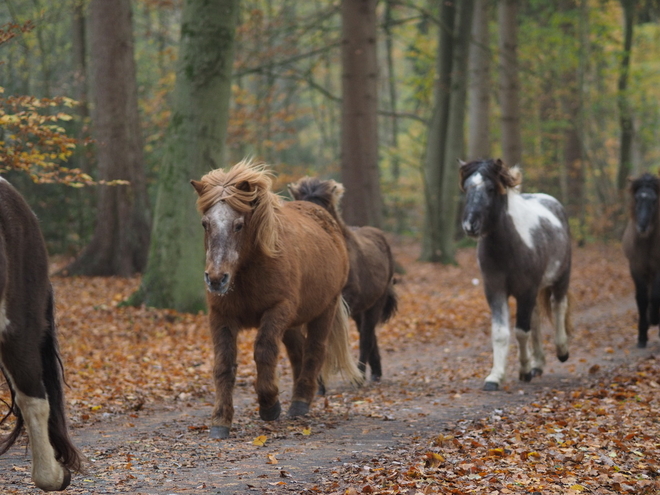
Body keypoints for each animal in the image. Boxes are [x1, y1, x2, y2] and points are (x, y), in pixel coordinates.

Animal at [191, 161, 364, 440]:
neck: (248, 270)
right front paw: (220, 420)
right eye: (205, 224)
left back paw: (300, 402)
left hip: (323, 311)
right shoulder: (221, 317)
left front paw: (269, 405)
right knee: (297, 351)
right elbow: (224, 364)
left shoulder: (277, 310)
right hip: (292, 322)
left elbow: (264, 351)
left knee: (315, 350)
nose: (216, 279)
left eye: (239, 225)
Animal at [288, 178, 398, 384]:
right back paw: (375, 372)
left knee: (366, 338)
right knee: (369, 335)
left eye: (323, 209)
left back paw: (361, 375)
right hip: (361, 309)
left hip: (374, 304)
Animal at [458, 159, 572, 392]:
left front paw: (524, 370)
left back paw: (561, 351)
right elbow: (501, 333)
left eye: (491, 189)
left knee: (558, 307)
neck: (508, 248)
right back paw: (538, 364)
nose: (470, 225)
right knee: (536, 318)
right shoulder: (495, 291)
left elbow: (521, 331)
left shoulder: (526, 290)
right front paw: (495, 377)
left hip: (560, 278)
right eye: (467, 189)